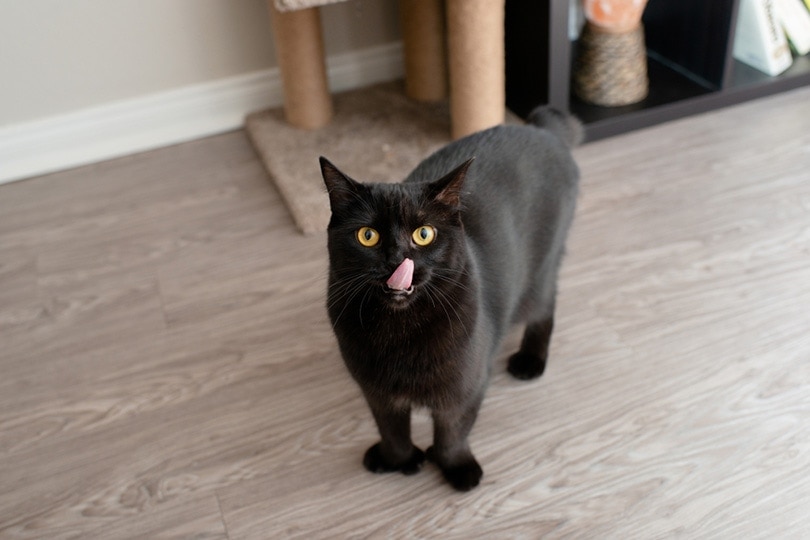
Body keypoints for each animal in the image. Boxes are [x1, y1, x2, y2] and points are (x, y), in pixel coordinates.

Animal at [318, 107, 576, 492]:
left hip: (541, 272)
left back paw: (530, 361)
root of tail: (544, 131)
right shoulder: (377, 392)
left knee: (545, 308)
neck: (399, 333)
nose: (397, 259)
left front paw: (457, 469)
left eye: (424, 234)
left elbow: (452, 433)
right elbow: (392, 430)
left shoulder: (466, 388)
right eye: (367, 235)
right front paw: (399, 460)